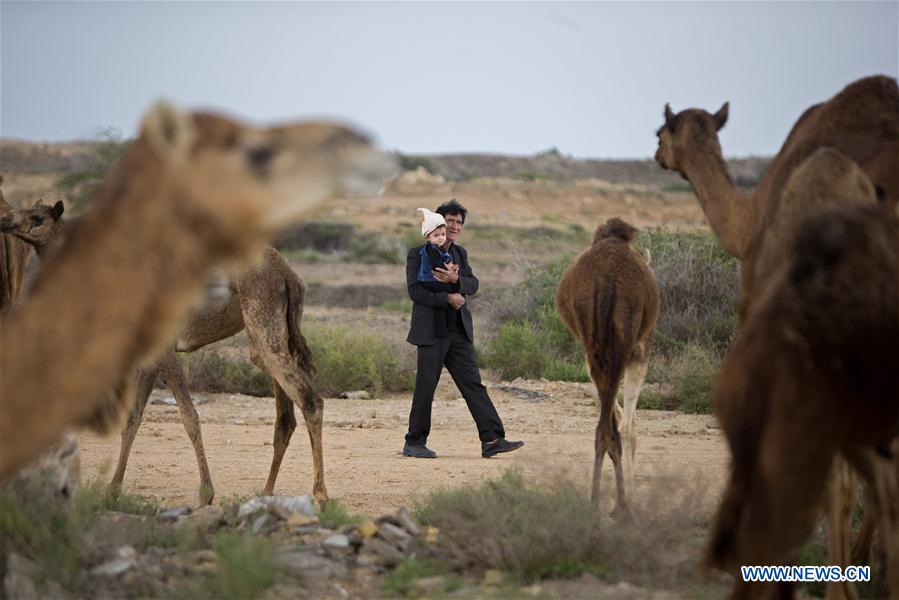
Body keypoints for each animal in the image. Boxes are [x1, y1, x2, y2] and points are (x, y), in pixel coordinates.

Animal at [1, 202, 326, 506]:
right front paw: (112, 490)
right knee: (285, 417)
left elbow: (189, 417)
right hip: (282, 331)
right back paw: (266, 492)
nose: (5, 220)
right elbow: (132, 417)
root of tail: (289, 275)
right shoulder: (148, 357)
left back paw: (320, 495)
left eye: (37, 218)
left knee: (309, 400)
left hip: (263, 327)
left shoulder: (164, 348)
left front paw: (206, 495)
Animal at [556, 218, 660, 512]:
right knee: (619, 428)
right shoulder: (640, 347)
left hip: (594, 342)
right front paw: (629, 494)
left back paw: (595, 501)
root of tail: (605, 281)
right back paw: (623, 506)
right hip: (625, 342)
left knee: (603, 428)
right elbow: (630, 427)